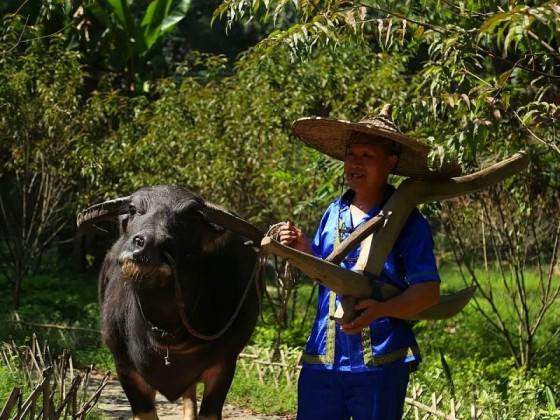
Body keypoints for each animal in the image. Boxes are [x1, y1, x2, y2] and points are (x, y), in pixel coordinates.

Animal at [76, 186, 264, 420]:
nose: (148, 244)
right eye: (133, 208)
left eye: (193, 216)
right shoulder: (125, 368)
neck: (167, 334)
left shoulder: (225, 365)